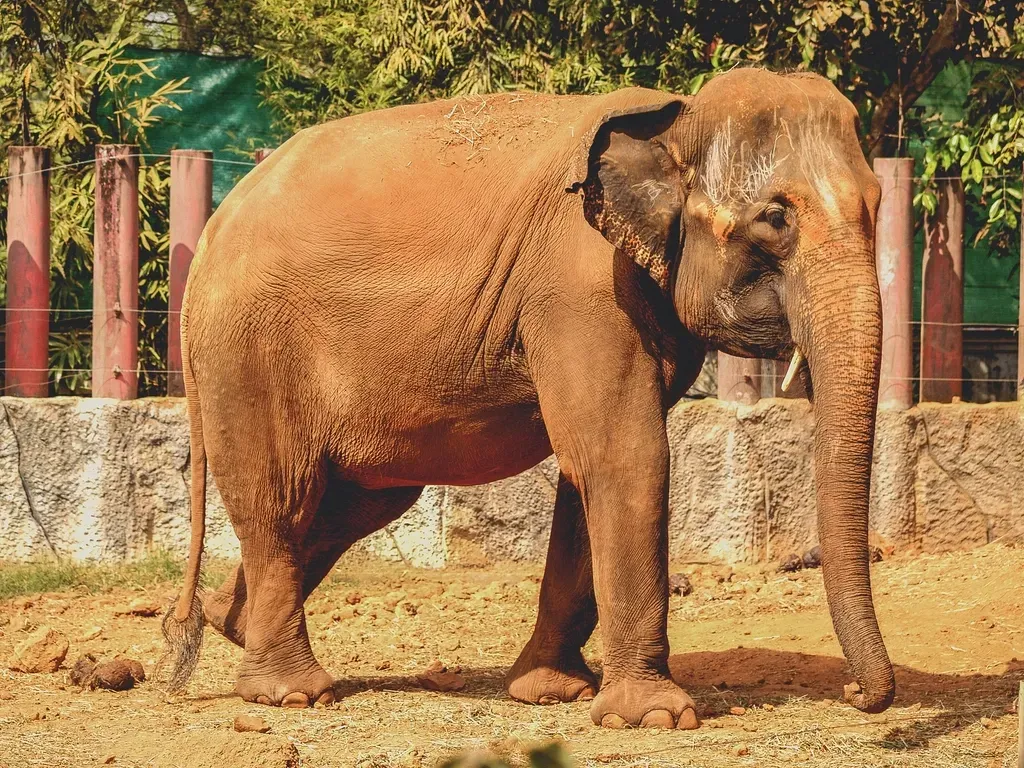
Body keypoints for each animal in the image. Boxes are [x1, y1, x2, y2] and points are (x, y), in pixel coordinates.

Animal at [162, 67, 895, 729]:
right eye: (775, 218)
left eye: (878, 203)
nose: (858, 695)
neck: (675, 119)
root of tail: (214, 228)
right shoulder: (582, 288)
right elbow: (627, 457)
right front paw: (654, 717)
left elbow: (587, 470)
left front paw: (552, 692)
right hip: (249, 350)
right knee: (280, 495)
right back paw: (291, 694)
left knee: (363, 500)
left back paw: (231, 623)